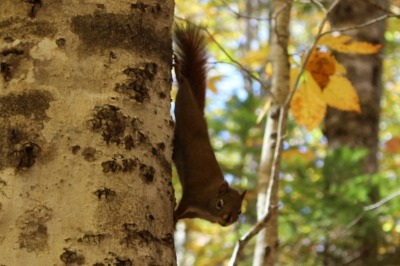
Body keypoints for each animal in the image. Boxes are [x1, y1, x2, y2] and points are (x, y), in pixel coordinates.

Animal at [173, 22, 245, 227]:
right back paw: (179, 71)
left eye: (239, 211)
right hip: (185, 104)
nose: (228, 220)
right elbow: (181, 206)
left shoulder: (194, 213)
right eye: (220, 203)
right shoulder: (193, 196)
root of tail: (199, 112)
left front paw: (175, 221)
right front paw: (172, 217)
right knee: (184, 85)